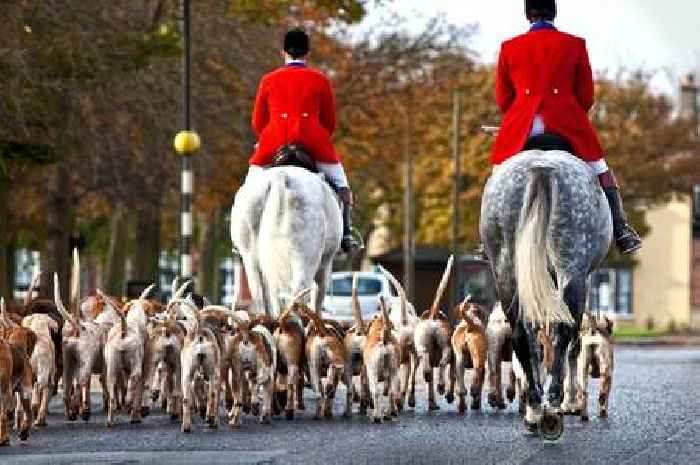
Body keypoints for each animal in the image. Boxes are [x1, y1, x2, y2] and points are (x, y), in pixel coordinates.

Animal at [231, 166, 344, 316]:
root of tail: (280, 176)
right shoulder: (325, 265)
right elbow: (318, 298)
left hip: (250, 257)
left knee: (261, 296)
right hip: (305, 257)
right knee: (299, 293)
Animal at [482, 150, 612, 438]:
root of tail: (540, 167)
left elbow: (539, 343)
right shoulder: (584, 280)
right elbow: (570, 343)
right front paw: (571, 402)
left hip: (507, 268)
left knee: (521, 333)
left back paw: (534, 409)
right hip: (571, 265)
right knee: (565, 334)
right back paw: (552, 405)